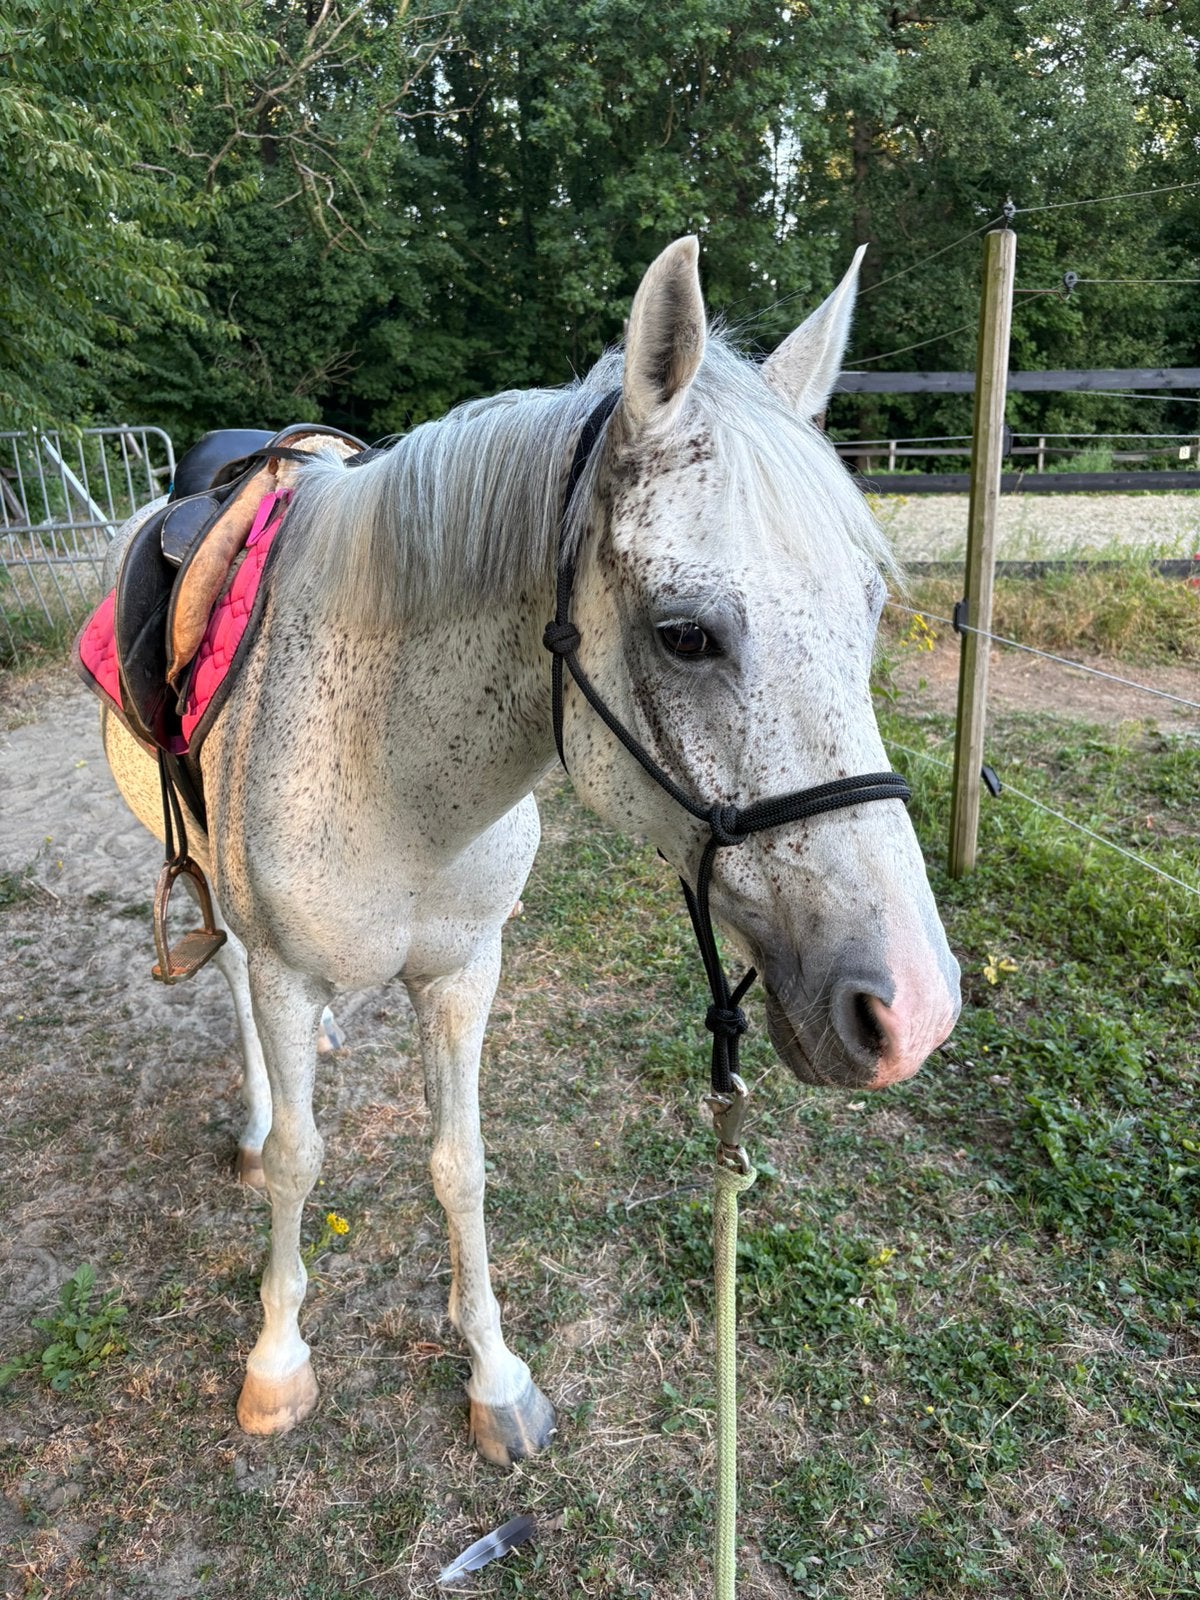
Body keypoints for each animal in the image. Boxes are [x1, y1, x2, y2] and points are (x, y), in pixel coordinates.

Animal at [97, 236, 961, 1466]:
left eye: (872, 611)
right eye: (683, 634)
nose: (915, 1010)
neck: (394, 772)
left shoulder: (465, 973)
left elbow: (459, 1165)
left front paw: (495, 1377)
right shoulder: (286, 969)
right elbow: (305, 1165)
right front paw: (276, 1359)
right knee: (233, 996)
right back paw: (261, 1120)